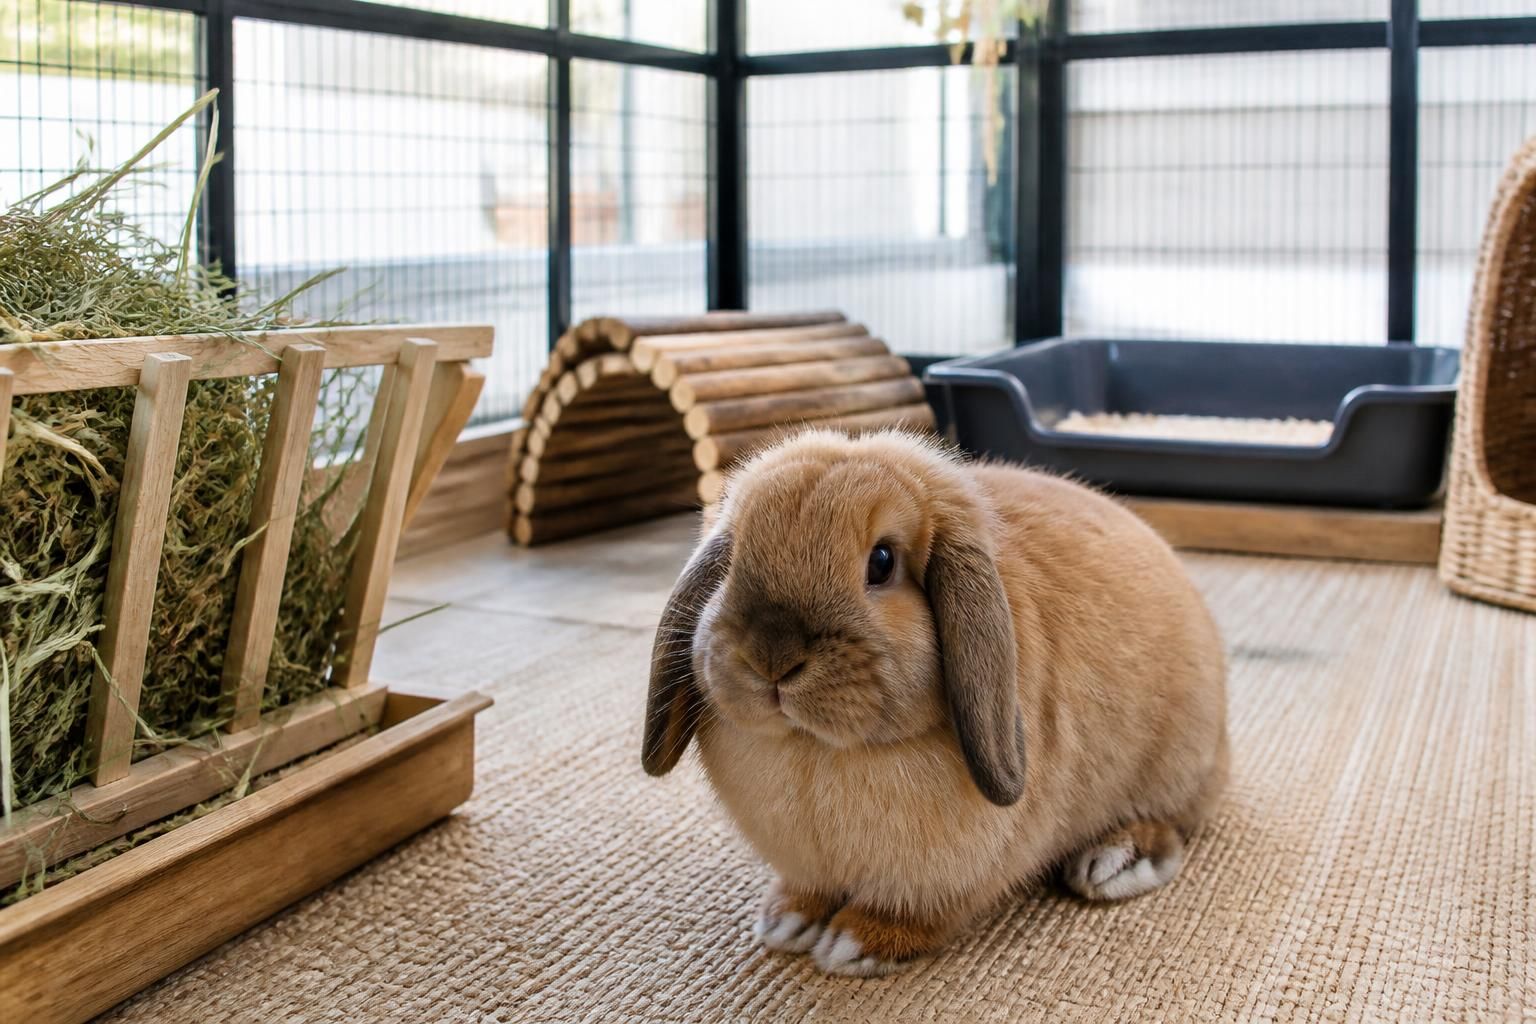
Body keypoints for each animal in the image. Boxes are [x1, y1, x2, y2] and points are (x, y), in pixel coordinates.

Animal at [643, 429, 1228, 976]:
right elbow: (807, 891)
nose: (772, 658)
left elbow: (923, 915)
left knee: (1173, 827)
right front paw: (786, 919)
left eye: (881, 562)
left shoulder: (957, 877)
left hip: (1172, 770)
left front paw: (857, 943)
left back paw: (1112, 863)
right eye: (732, 561)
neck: (818, 749)